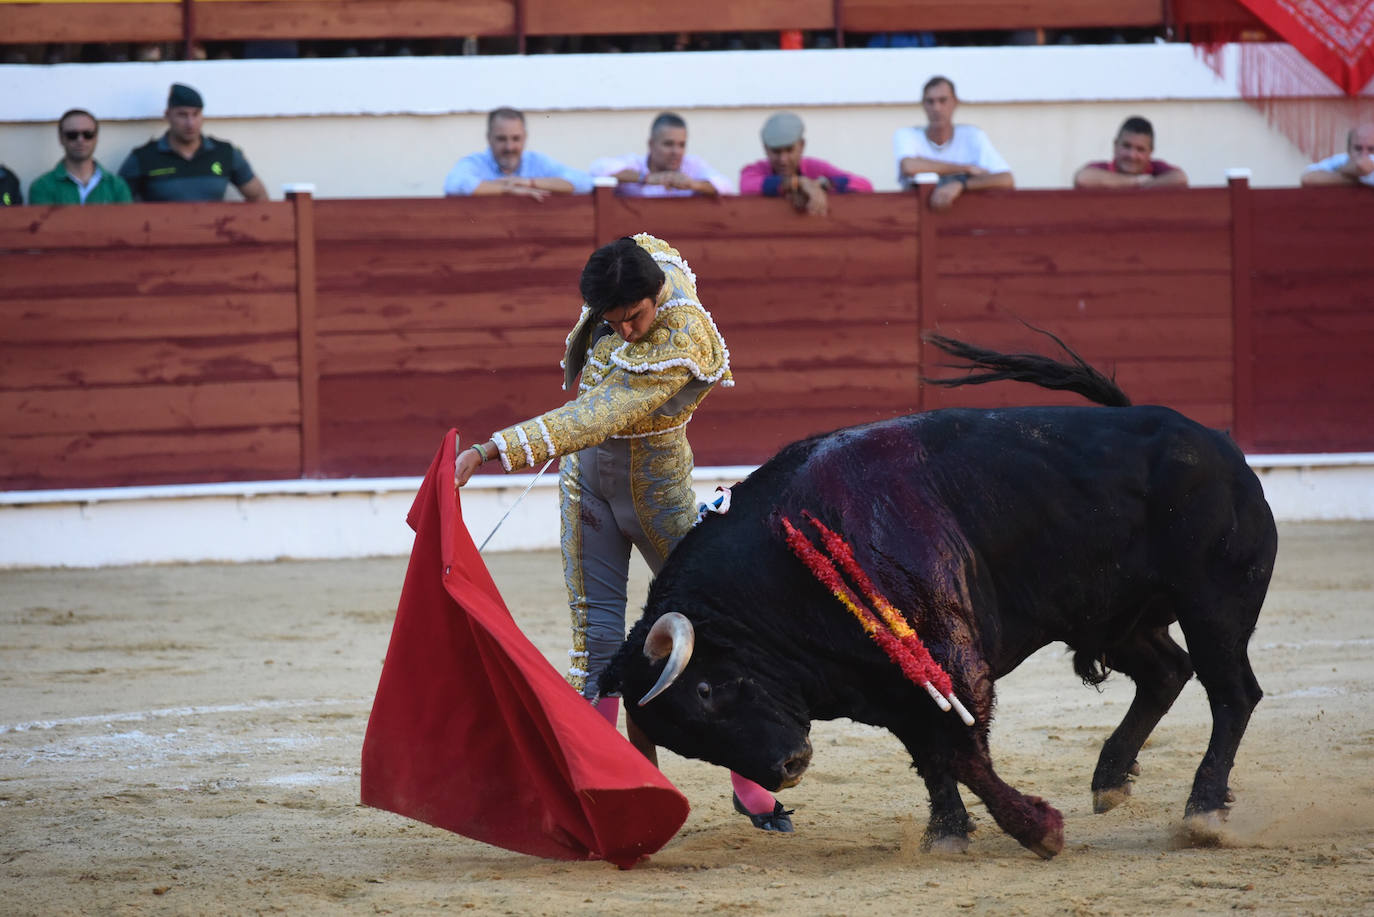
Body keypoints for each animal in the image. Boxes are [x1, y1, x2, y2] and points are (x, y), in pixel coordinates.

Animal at [601, 335, 1275, 863]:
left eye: (706, 691)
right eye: (687, 742)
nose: (789, 766)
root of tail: (1219, 445)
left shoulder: (950, 663)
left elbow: (963, 751)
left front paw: (1040, 830)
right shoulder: (890, 687)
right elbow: (932, 758)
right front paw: (948, 834)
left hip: (1215, 605)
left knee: (1232, 692)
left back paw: (1203, 813)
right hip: (1111, 617)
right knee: (1168, 671)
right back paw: (1110, 781)